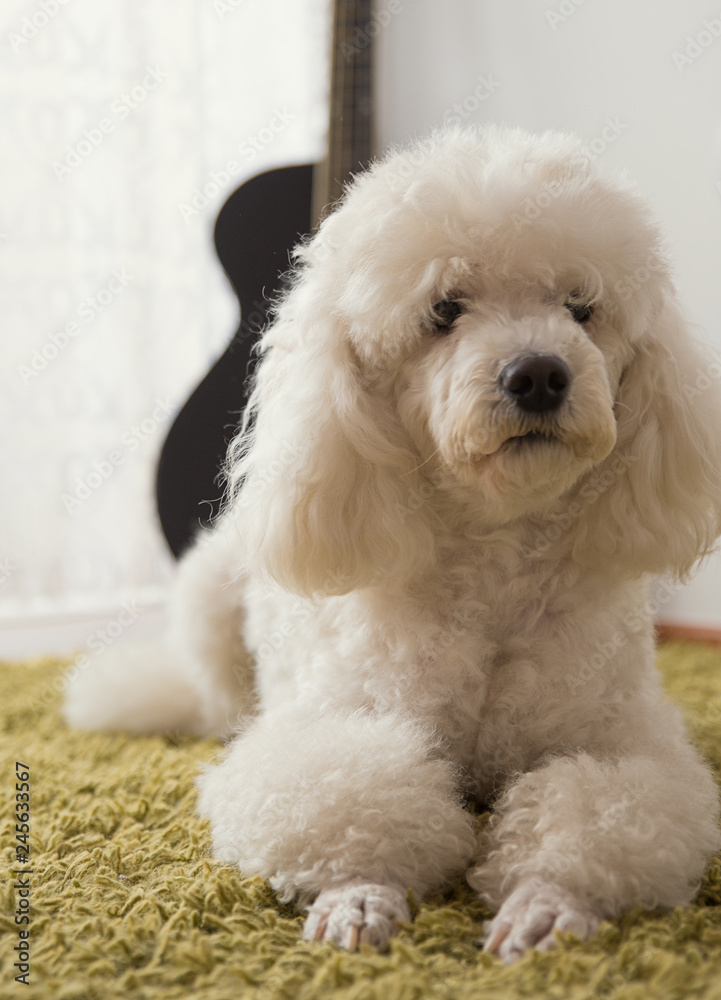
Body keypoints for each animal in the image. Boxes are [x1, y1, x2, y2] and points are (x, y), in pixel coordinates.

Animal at [64, 125, 720, 960]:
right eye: (443, 310)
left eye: (581, 308)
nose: (539, 374)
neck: (493, 561)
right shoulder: (331, 729)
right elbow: (357, 796)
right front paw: (358, 894)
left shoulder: (620, 745)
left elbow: (593, 812)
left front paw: (546, 899)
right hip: (209, 605)